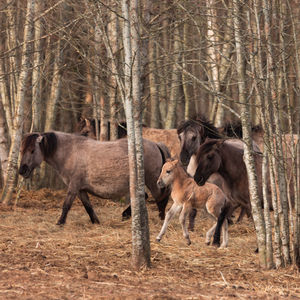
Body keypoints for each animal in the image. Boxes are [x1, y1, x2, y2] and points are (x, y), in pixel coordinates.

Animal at [19, 132, 171, 224]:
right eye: (21, 150)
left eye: (32, 150)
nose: (22, 170)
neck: (70, 153)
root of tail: (156, 144)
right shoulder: (80, 189)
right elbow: (88, 207)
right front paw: (96, 222)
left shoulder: (73, 186)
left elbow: (66, 205)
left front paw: (60, 223)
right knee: (145, 196)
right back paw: (126, 215)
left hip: (153, 182)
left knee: (161, 199)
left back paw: (161, 219)